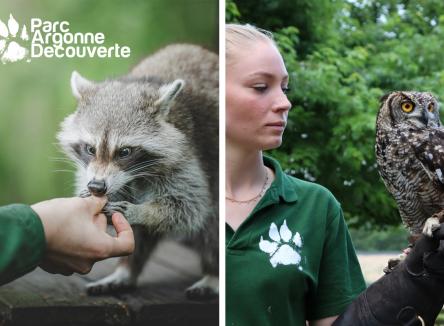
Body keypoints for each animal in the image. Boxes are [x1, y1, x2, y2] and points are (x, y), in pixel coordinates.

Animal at [57, 44, 219, 300]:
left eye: (124, 152)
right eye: (90, 149)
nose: (96, 186)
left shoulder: (188, 155)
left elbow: (189, 207)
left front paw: (143, 211)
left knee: (213, 220)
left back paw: (213, 275)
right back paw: (126, 270)